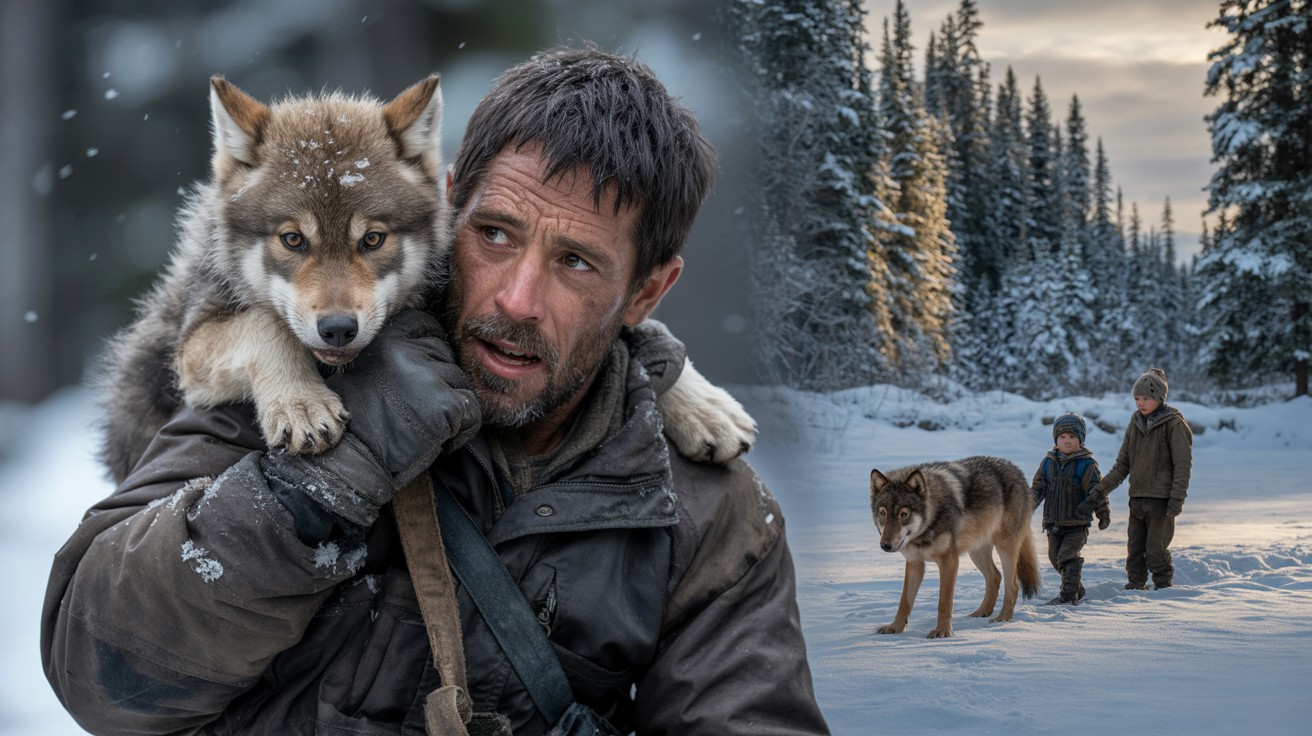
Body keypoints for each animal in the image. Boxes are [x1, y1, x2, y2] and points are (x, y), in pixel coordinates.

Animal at [97, 74, 756, 484]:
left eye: (372, 239)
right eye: (293, 240)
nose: (338, 328)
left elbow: (640, 334)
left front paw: (703, 406)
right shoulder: (191, 347)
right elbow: (265, 324)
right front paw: (301, 403)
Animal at [868, 456, 1041, 639]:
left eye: (903, 514)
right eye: (883, 513)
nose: (885, 545)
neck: (927, 528)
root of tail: (1016, 470)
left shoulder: (949, 561)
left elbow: (944, 602)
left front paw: (943, 631)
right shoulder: (915, 563)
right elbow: (904, 602)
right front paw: (895, 627)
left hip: (1004, 547)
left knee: (1012, 585)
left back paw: (1003, 618)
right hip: (976, 553)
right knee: (995, 577)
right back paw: (981, 612)